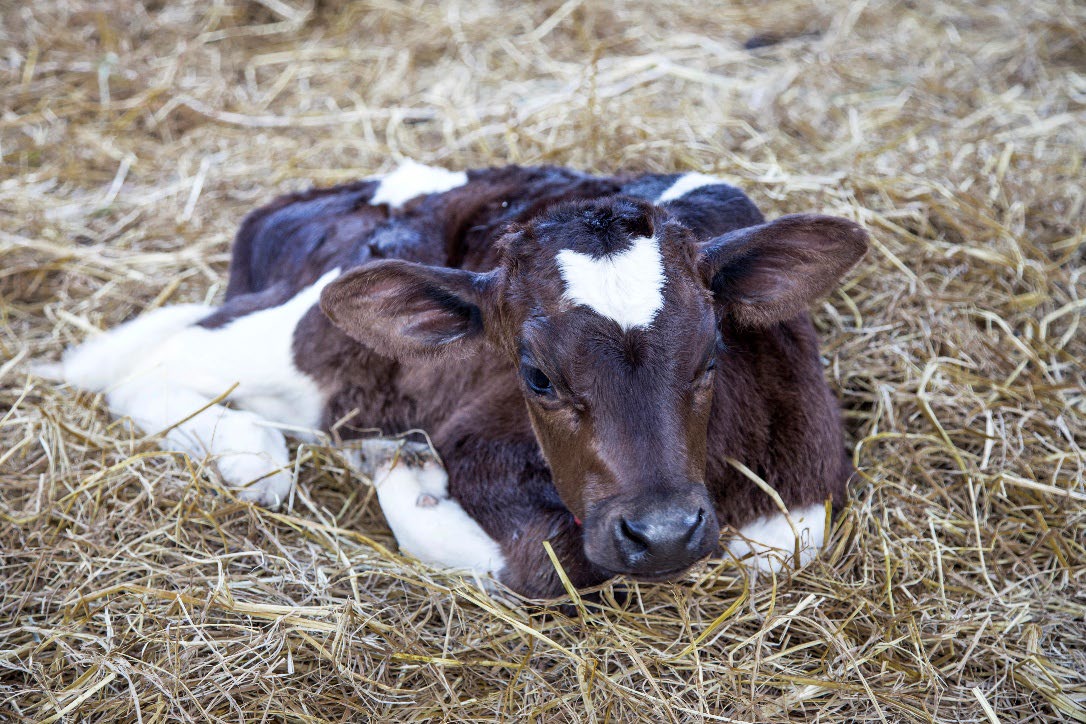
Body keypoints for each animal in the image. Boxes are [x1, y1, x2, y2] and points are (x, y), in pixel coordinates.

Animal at [43, 161, 868, 598]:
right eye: (534, 376)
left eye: (711, 355)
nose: (661, 533)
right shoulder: (478, 442)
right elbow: (542, 563)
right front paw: (404, 471)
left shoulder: (804, 470)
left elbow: (781, 550)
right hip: (298, 339)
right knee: (158, 362)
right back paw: (256, 457)